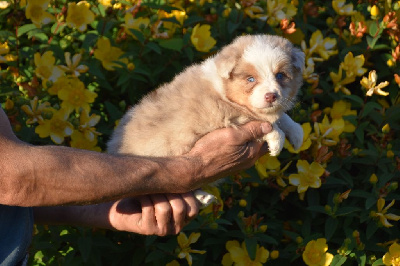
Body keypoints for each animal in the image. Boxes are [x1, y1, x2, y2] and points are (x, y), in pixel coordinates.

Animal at [108, 33, 304, 206]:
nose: (271, 96)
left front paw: (296, 134)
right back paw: (202, 196)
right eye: (250, 79)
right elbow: (265, 123)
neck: (225, 90)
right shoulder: (227, 117)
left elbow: (281, 117)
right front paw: (277, 141)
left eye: (280, 76)